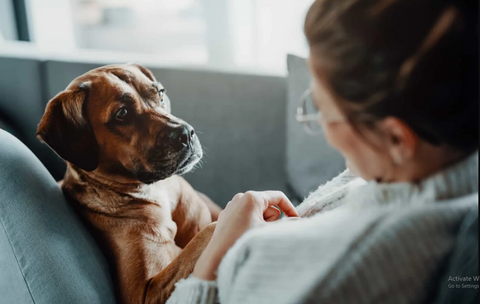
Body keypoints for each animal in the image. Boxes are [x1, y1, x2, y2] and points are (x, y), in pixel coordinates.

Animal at [37, 63, 221, 304]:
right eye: (122, 114)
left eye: (160, 93)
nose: (186, 133)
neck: (154, 190)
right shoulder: (142, 293)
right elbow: (206, 234)